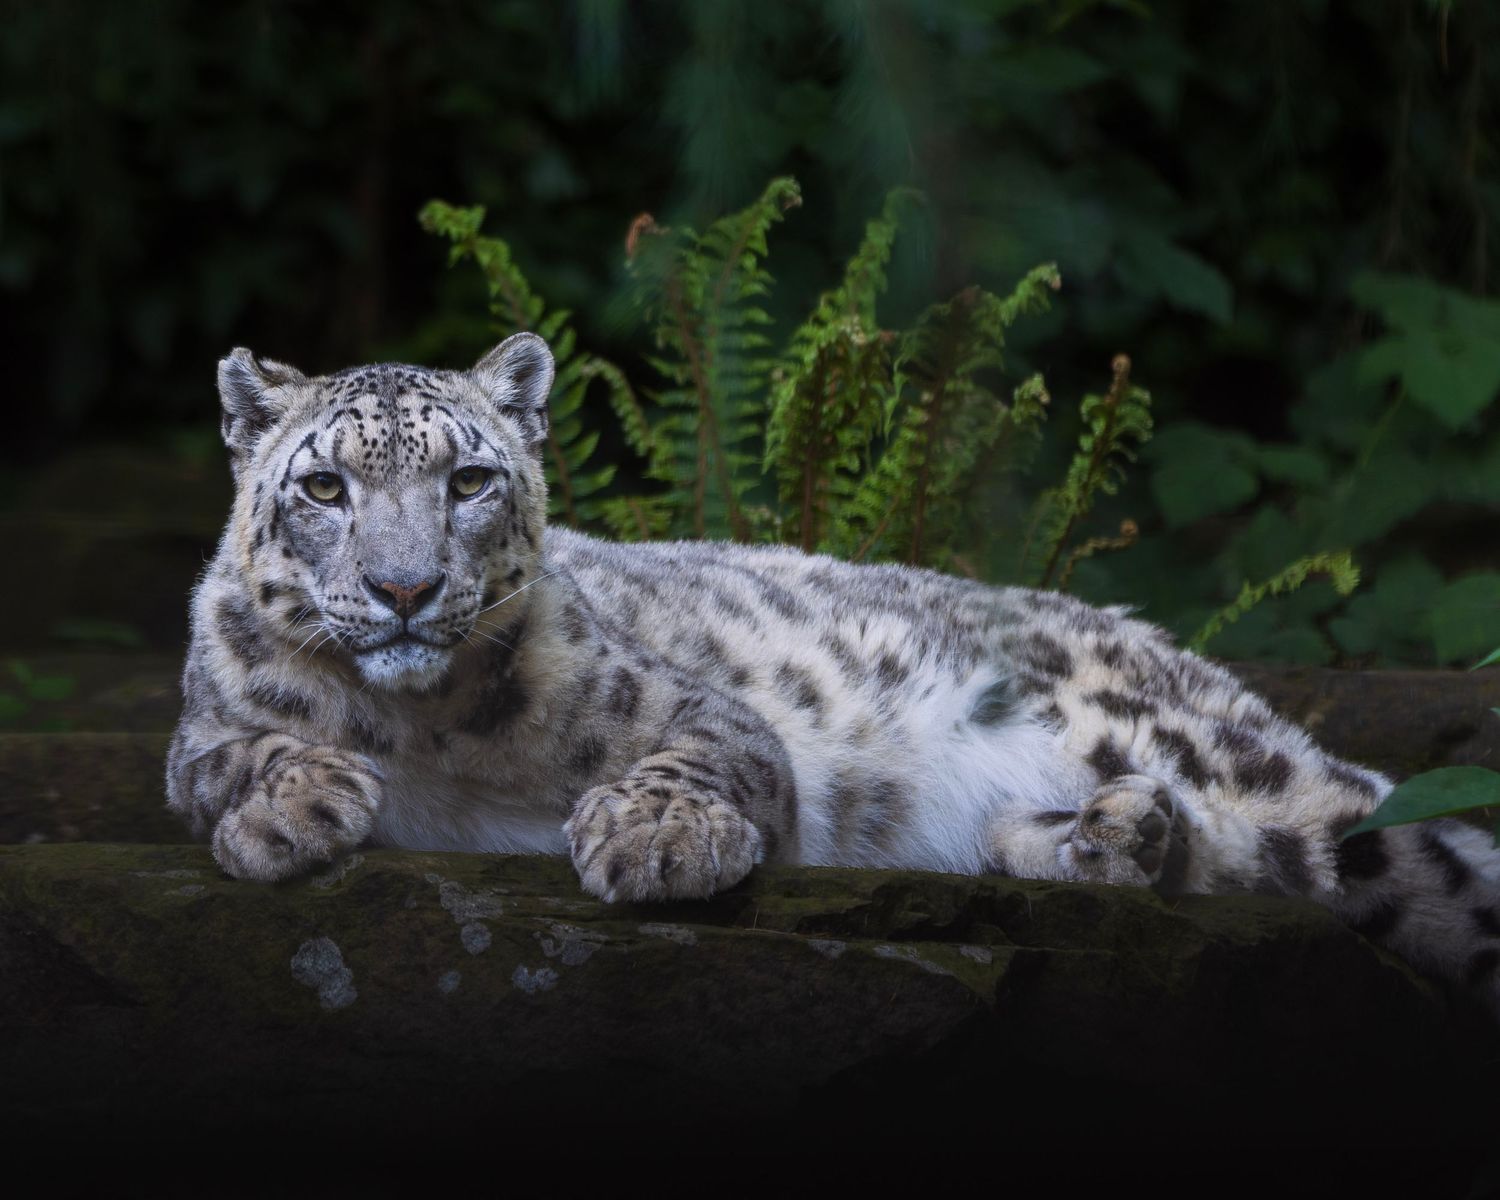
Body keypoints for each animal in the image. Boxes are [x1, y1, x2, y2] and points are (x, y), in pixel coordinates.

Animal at [166, 331, 1500, 1015]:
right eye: (324, 486)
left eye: (470, 478)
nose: (404, 590)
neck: (432, 726)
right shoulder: (198, 730)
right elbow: (223, 757)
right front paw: (296, 802)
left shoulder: (694, 708)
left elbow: (702, 751)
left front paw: (654, 841)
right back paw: (1117, 838)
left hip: (1233, 759)